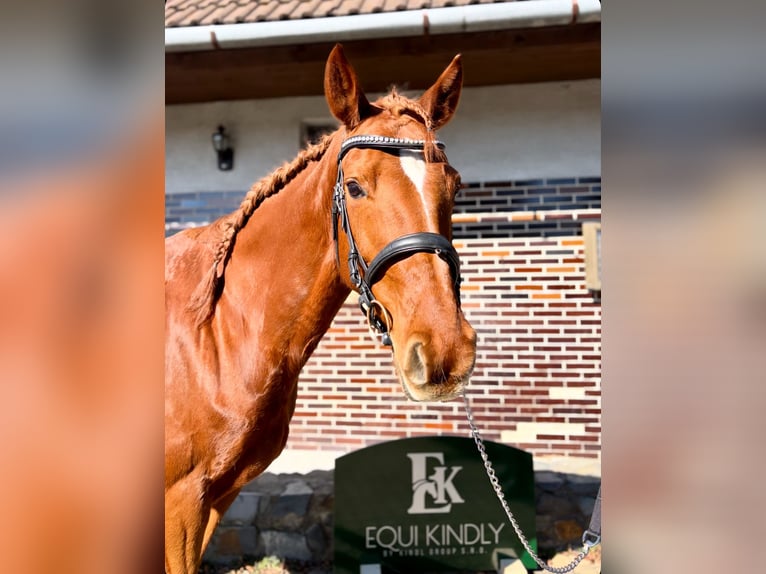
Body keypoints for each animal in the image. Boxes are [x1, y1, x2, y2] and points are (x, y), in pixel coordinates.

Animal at [164, 44, 477, 573]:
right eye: (354, 187)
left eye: (454, 187)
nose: (444, 351)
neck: (216, 332)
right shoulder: (178, 505)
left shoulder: (214, 501)